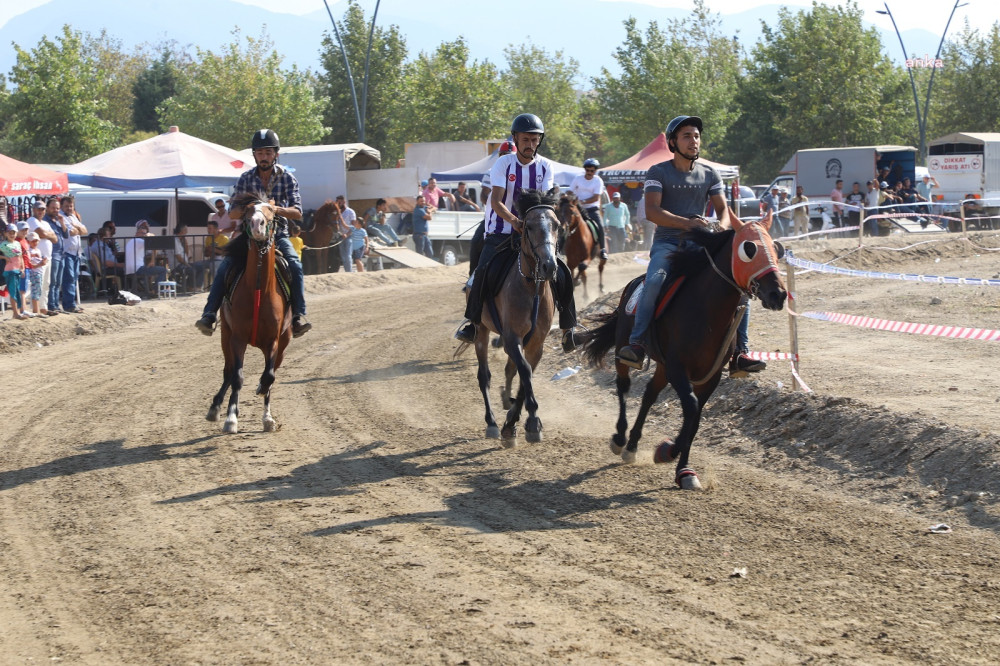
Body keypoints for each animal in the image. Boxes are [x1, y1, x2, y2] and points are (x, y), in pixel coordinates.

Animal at [207, 189, 292, 434]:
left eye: (271, 209)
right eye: (247, 211)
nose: (256, 224)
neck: (259, 291)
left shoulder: (274, 340)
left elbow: (269, 377)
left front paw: (267, 417)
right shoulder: (237, 337)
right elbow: (237, 377)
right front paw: (231, 418)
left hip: (284, 342)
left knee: (270, 374)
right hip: (225, 335)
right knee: (228, 371)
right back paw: (215, 408)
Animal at [460, 187, 564, 446]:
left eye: (557, 225)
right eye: (528, 226)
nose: (549, 266)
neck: (531, 288)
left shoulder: (536, 342)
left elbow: (525, 375)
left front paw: (516, 422)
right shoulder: (512, 336)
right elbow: (524, 371)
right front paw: (529, 422)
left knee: (509, 369)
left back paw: (507, 402)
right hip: (481, 331)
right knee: (484, 376)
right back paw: (492, 422)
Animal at [584, 210, 784, 486]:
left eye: (777, 249)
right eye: (749, 249)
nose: (778, 294)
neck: (706, 311)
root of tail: (633, 284)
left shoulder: (710, 376)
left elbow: (696, 418)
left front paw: (684, 470)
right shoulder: (678, 368)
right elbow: (690, 408)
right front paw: (667, 450)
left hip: (662, 366)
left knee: (649, 394)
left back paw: (632, 445)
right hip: (624, 349)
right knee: (623, 385)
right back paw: (620, 438)